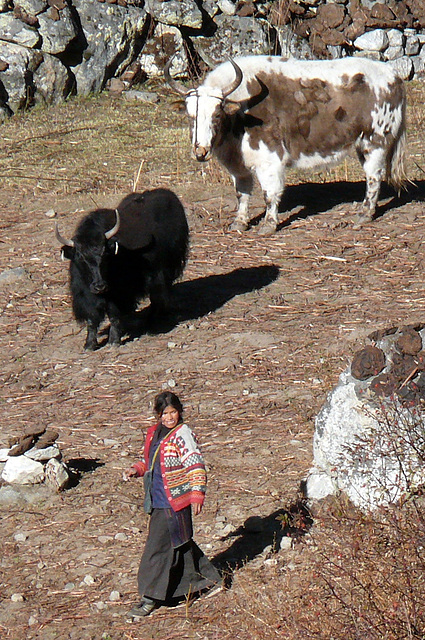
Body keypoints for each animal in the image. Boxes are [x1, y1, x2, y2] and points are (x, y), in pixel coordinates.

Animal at [165, 56, 404, 234]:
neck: (242, 110)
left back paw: (364, 214)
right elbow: (242, 192)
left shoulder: (270, 160)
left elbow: (270, 193)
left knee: (373, 177)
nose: (200, 151)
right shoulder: (238, 166)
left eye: (216, 115)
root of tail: (393, 74)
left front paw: (268, 225)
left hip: (375, 142)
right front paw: (239, 223)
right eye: (191, 116)